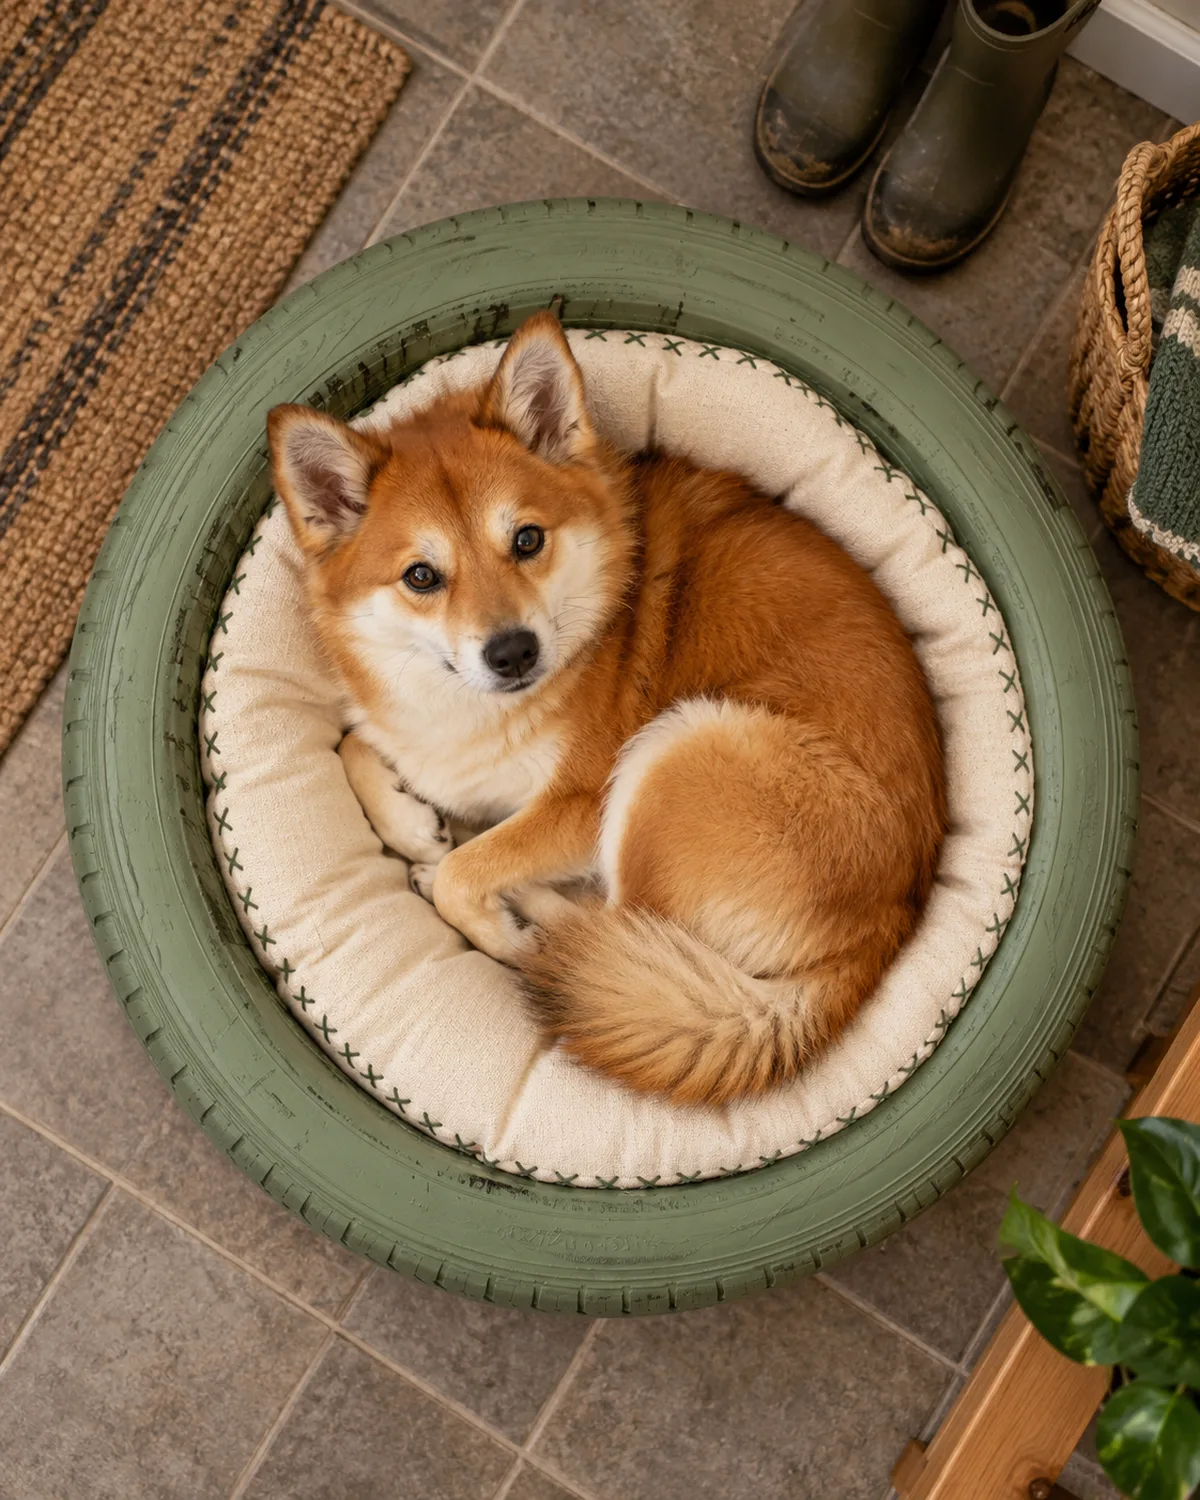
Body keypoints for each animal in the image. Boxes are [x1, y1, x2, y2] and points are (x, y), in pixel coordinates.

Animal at [266, 311, 946, 1108]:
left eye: (527, 539)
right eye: (421, 577)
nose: (513, 652)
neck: (473, 714)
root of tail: (887, 930)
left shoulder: (580, 803)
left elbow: (469, 871)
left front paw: (491, 917)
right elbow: (354, 743)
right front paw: (409, 821)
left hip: (676, 754)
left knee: (616, 930)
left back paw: (527, 925)